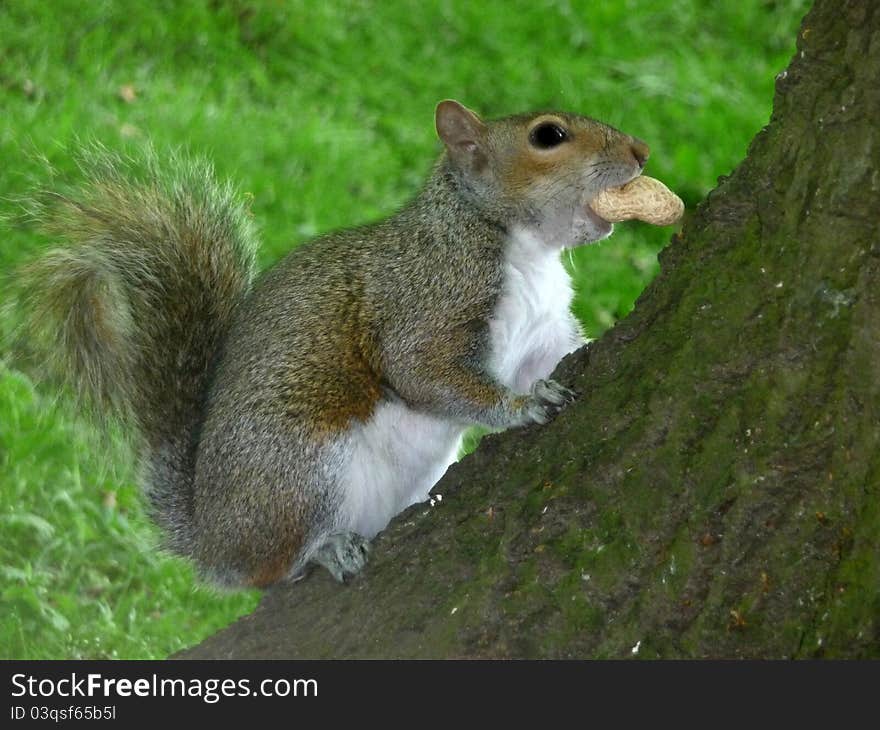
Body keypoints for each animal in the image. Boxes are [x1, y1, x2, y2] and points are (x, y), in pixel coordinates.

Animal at [20, 99, 648, 584]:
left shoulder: (543, 333)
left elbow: (552, 356)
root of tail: (211, 539)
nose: (641, 150)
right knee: (271, 570)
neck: (519, 246)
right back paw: (322, 551)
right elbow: (426, 373)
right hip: (299, 469)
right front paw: (523, 406)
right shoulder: (424, 302)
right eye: (548, 135)